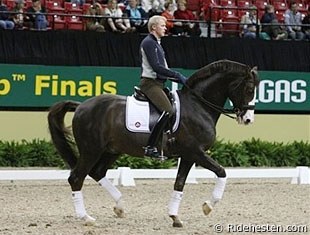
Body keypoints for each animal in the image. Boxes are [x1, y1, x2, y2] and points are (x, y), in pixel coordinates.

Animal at [47, 59, 260, 228]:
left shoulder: (188, 156)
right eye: (249, 89)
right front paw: (208, 206)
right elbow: (222, 172)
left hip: (111, 150)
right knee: (76, 178)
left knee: (97, 172)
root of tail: (81, 106)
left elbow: (179, 183)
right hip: (91, 150)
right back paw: (86, 218)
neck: (198, 105)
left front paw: (175, 217)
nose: (248, 119)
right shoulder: (196, 152)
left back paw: (120, 206)